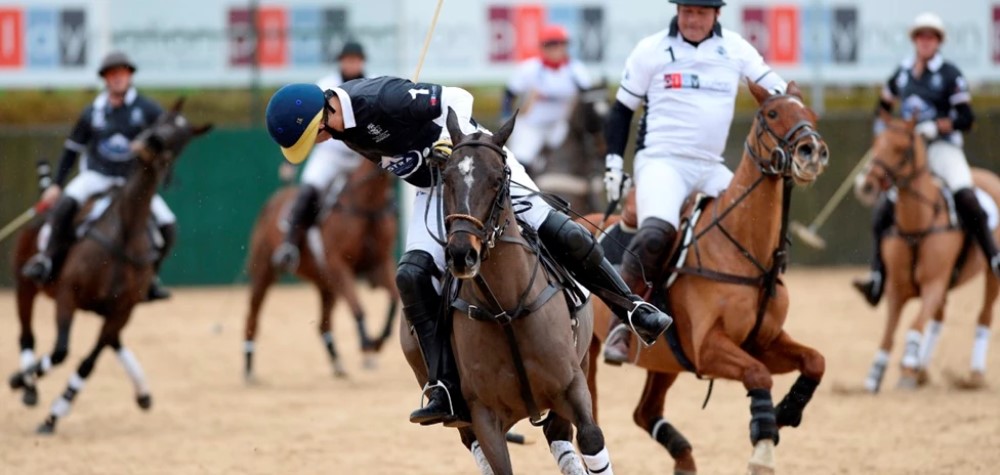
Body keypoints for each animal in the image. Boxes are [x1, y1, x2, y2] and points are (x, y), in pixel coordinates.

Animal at [6, 100, 211, 436]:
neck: (124, 231)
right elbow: (60, 351)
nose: (152, 143)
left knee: (114, 343)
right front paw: (20, 381)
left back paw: (142, 393)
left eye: (182, 138)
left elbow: (87, 363)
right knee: (27, 336)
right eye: (161, 120)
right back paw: (29, 387)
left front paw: (54, 415)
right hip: (25, 286)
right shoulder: (68, 295)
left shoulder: (122, 311)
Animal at [242, 158, 398, 382]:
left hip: (325, 283)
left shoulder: (381, 263)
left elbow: (395, 299)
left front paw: (379, 340)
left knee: (323, 325)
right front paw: (366, 342)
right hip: (263, 270)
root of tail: (275, 199)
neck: (366, 205)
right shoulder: (337, 263)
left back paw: (338, 364)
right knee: (252, 317)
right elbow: (358, 306)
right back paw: (248, 368)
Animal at [580, 82, 828, 475]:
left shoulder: (763, 341)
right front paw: (763, 448)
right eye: (771, 113)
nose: (812, 152)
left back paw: (684, 458)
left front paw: (786, 411)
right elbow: (758, 374)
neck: (748, 257)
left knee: (645, 411)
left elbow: (816, 360)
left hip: (666, 357)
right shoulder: (709, 347)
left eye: (811, 115)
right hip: (589, 351)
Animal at [852, 112, 1000, 394]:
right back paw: (922, 371)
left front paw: (908, 367)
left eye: (902, 149)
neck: (916, 227)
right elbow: (889, 334)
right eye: (876, 143)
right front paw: (876, 375)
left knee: (984, 315)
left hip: (989, 275)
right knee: (939, 318)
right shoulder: (897, 289)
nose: (866, 186)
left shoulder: (933, 283)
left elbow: (915, 323)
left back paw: (974, 376)